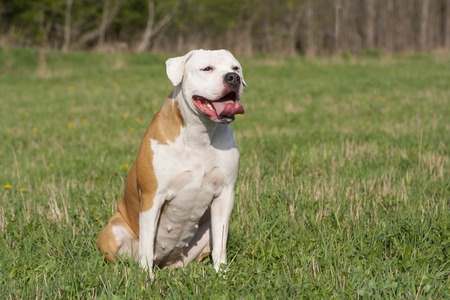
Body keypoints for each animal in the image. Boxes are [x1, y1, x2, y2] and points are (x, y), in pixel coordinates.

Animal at [96, 49, 248, 278]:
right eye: (207, 68)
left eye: (235, 68)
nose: (233, 78)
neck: (199, 136)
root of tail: (165, 262)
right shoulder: (152, 197)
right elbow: (147, 244)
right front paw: (146, 278)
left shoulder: (225, 193)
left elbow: (220, 245)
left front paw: (221, 273)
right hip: (113, 231)